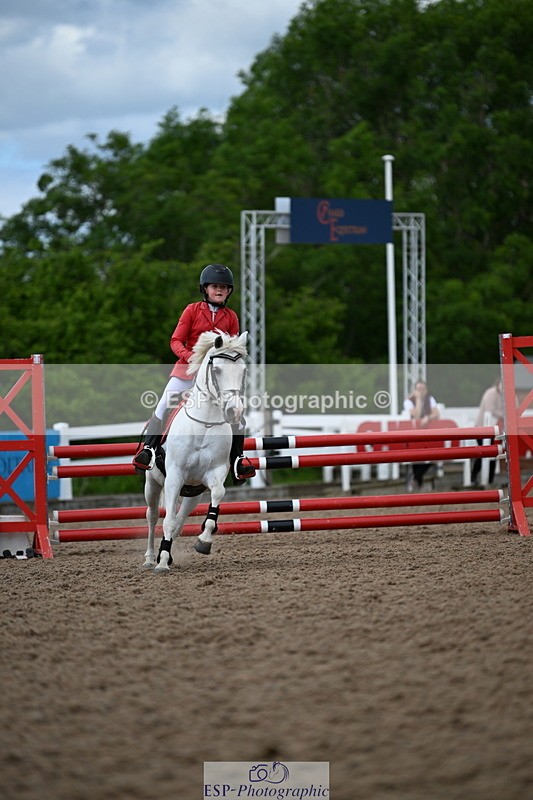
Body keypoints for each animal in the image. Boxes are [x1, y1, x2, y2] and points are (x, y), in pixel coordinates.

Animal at [142, 330, 248, 573]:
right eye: (217, 370)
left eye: (244, 371)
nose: (235, 412)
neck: (205, 424)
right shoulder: (174, 476)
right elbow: (167, 520)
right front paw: (162, 563)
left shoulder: (214, 474)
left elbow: (216, 496)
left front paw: (204, 541)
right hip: (152, 483)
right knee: (153, 516)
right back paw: (151, 558)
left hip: (194, 493)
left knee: (180, 519)